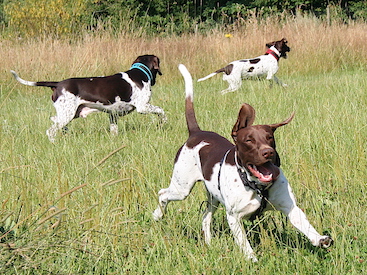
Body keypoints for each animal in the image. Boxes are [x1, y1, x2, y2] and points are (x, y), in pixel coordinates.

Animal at [11, 55, 167, 143]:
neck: (140, 72)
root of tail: (57, 84)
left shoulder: (113, 115)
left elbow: (114, 131)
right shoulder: (143, 107)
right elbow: (161, 111)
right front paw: (163, 124)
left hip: (70, 114)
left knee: (54, 120)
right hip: (67, 114)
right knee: (51, 131)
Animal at [152, 63, 334, 262]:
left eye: (269, 137)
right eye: (249, 140)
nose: (268, 152)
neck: (257, 186)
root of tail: (196, 133)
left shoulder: (290, 207)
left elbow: (305, 225)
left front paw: (320, 239)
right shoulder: (234, 217)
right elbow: (245, 246)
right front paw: (253, 260)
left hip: (213, 197)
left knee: (205, 216)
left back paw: (208, 243)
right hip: (182, 188)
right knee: (163, 194)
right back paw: (157, 215)